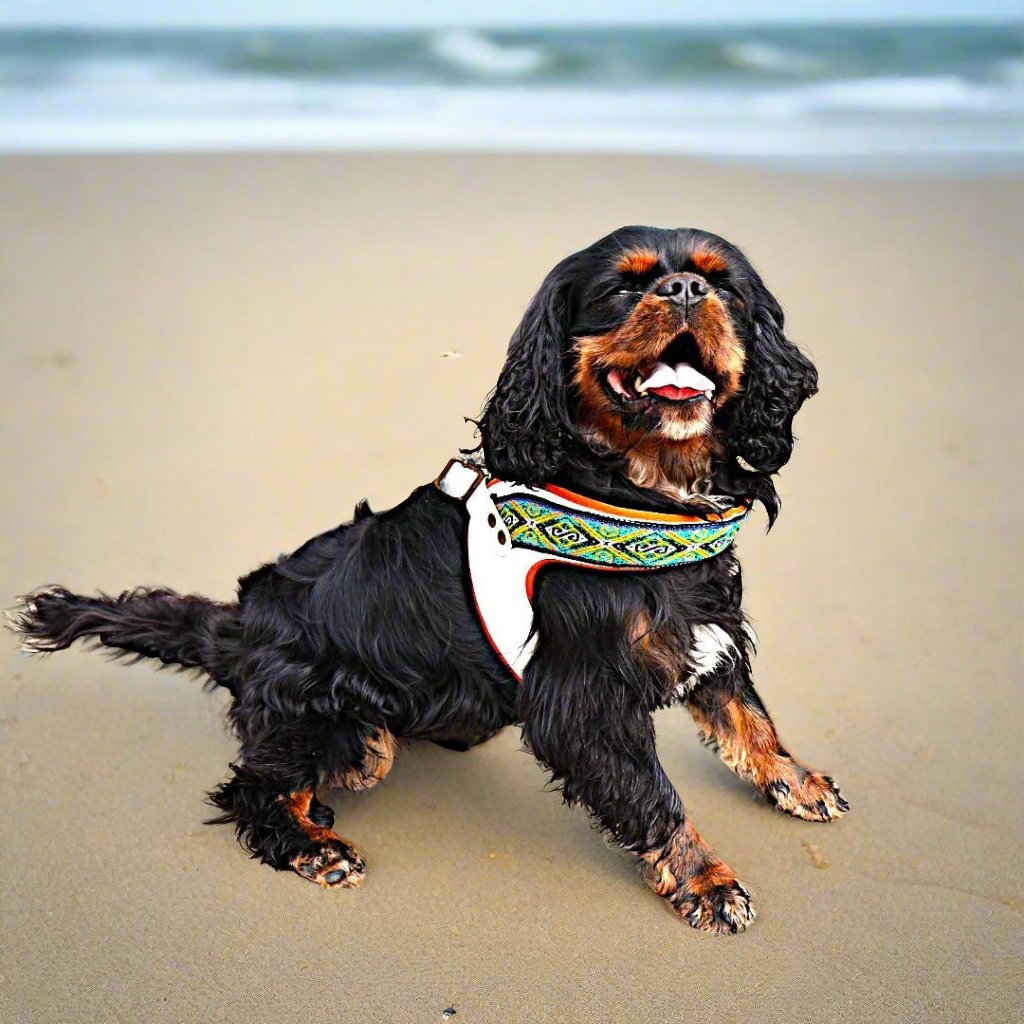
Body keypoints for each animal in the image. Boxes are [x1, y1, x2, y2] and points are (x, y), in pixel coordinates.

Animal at [8, 226, 843, 937]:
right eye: (620, 287)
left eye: (721, 282)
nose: (682, 289)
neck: (643, 489)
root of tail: (237, 630)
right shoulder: (584, 702)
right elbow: (656, 798)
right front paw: (707, 882)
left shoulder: (706, 631)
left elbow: (751, 719)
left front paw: (795, 781)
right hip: (331, 714)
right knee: (259, 786)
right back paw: (312, 844)